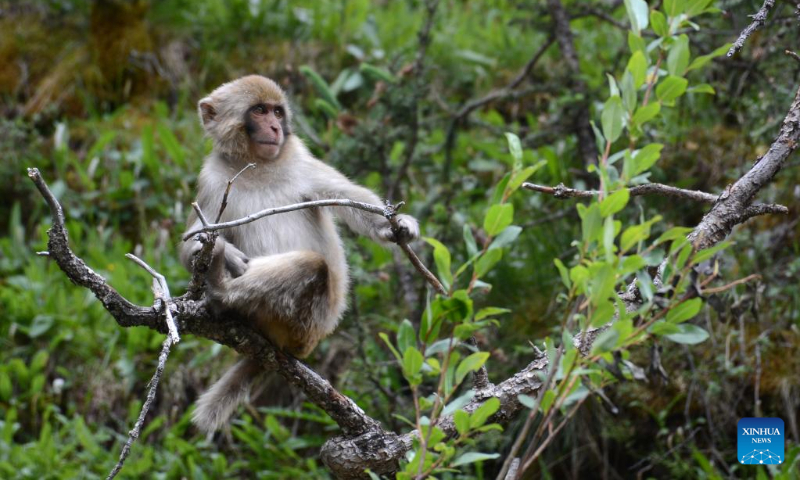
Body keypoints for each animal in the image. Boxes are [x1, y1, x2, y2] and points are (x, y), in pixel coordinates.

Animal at [180, 75, 419, 433]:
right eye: (260, 110)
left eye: (277, 112)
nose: (275, 127)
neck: (255, 164)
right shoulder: (211, 179)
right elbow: (190, 241)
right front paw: (221, 252)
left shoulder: (300, 160)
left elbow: (350, 200)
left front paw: (396, 225)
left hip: (306, 320)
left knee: (312, 266)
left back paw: (221, 291)